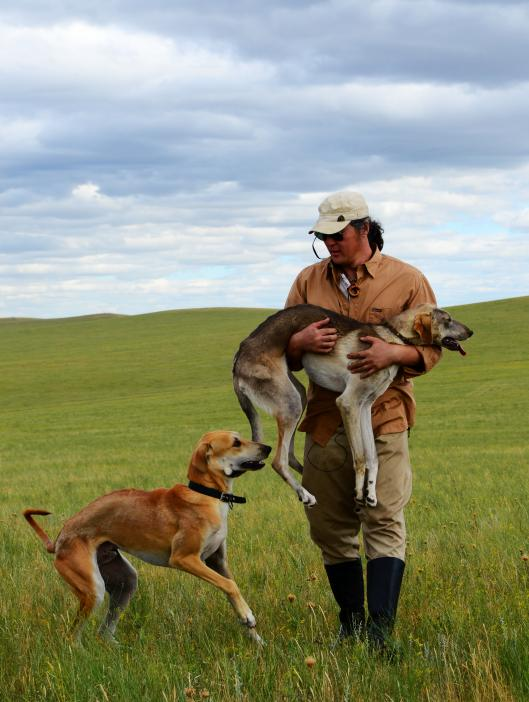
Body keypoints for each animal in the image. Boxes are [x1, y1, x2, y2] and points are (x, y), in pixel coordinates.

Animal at [22, 432, 270, 648]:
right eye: (236, 442)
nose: (267, 447)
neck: (205, 495)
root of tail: (58, 540)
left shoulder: (217, 562)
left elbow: (231, 588)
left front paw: (255, 636)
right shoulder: (184, 558)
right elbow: (230, 585)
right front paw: (249, 617)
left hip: (125, 582)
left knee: (104, 631)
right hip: (93, 589)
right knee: (72, 636)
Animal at [233, 302, 472, 506]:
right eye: (448, 320)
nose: (471, 332)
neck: (391, 337)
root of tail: (238, 358)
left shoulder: (365, 407)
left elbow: (372, 457)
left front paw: (371, 493)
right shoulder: (348, 403)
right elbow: (360, 457)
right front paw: (358, 493)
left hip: (298, 396)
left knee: (290, 456)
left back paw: (306, 484)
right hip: (291, 403)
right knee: (278, 461)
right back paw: (305, 494)